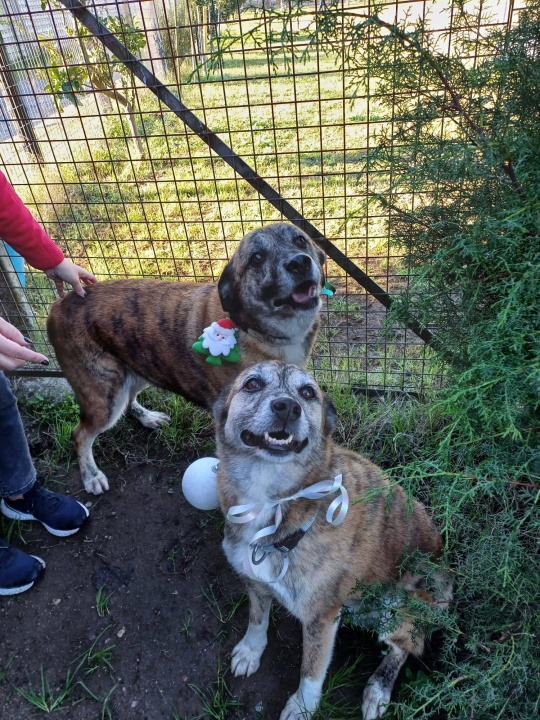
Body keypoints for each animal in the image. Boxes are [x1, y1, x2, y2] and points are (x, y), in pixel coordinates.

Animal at [46, 223, 325, 495]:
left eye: (300, 240)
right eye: (257, 257)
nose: (299, 263)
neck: (259, 332)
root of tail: (60, 304)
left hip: (136, 368)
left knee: (129, 400)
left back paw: (148, 417)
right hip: (105, 396)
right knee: (79, 435)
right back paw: (91, 476)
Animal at [214, 361, 452, 720]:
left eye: (307, 392)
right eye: (252, 384)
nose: (287, 407)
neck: (272, 499)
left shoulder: (321, 618)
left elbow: (311, 670)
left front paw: (301, 706)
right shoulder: (254, 580)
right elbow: (257, 618)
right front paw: (251, 651)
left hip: (398, 607)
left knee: (406, 645)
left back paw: (377, 690)